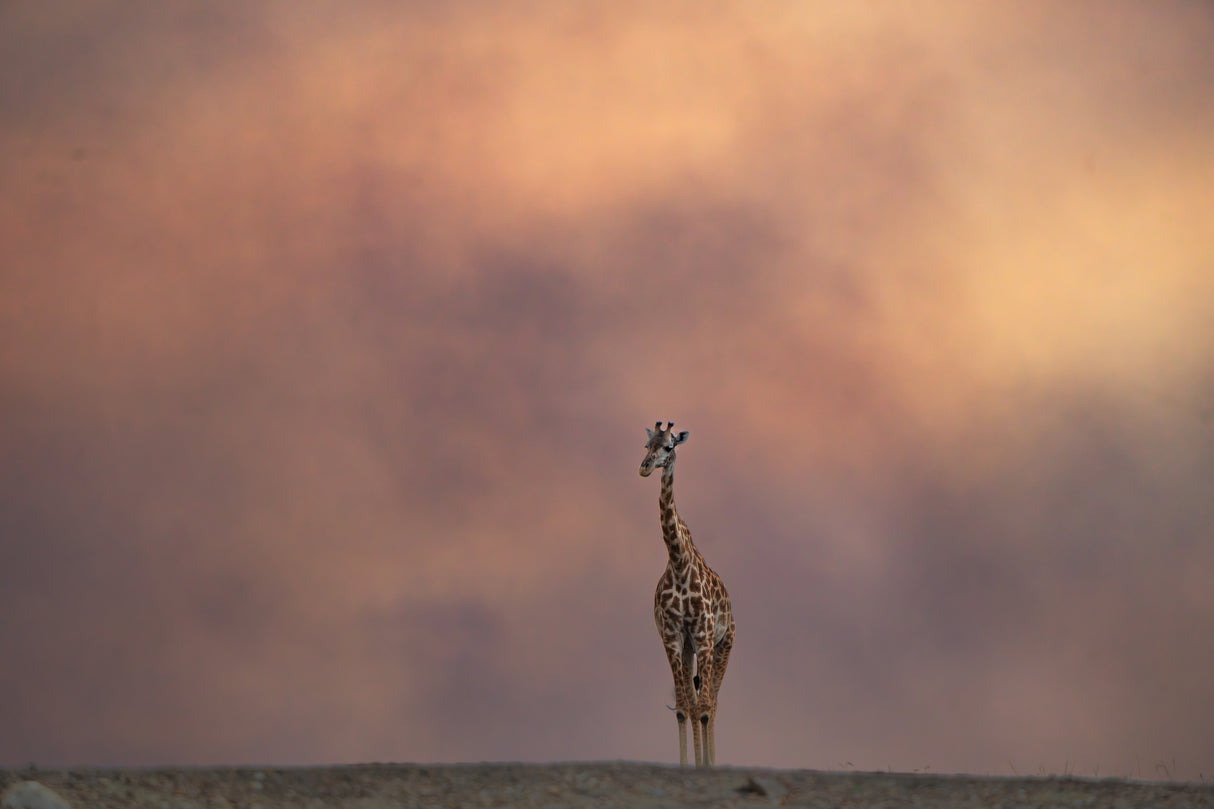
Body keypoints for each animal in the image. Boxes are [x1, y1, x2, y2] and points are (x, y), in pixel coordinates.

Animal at [639, 420, 734, 767]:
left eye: (669, 446)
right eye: (647, 445)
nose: (644, 467)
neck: (679, 563)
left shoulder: (705, 637)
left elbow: (703, 708)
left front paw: (705, 766)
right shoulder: (673, 637)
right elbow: (683, 707)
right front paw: (686, 765)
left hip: (724, 643)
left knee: (712, 703)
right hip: (691, 647)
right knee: (695, 702)